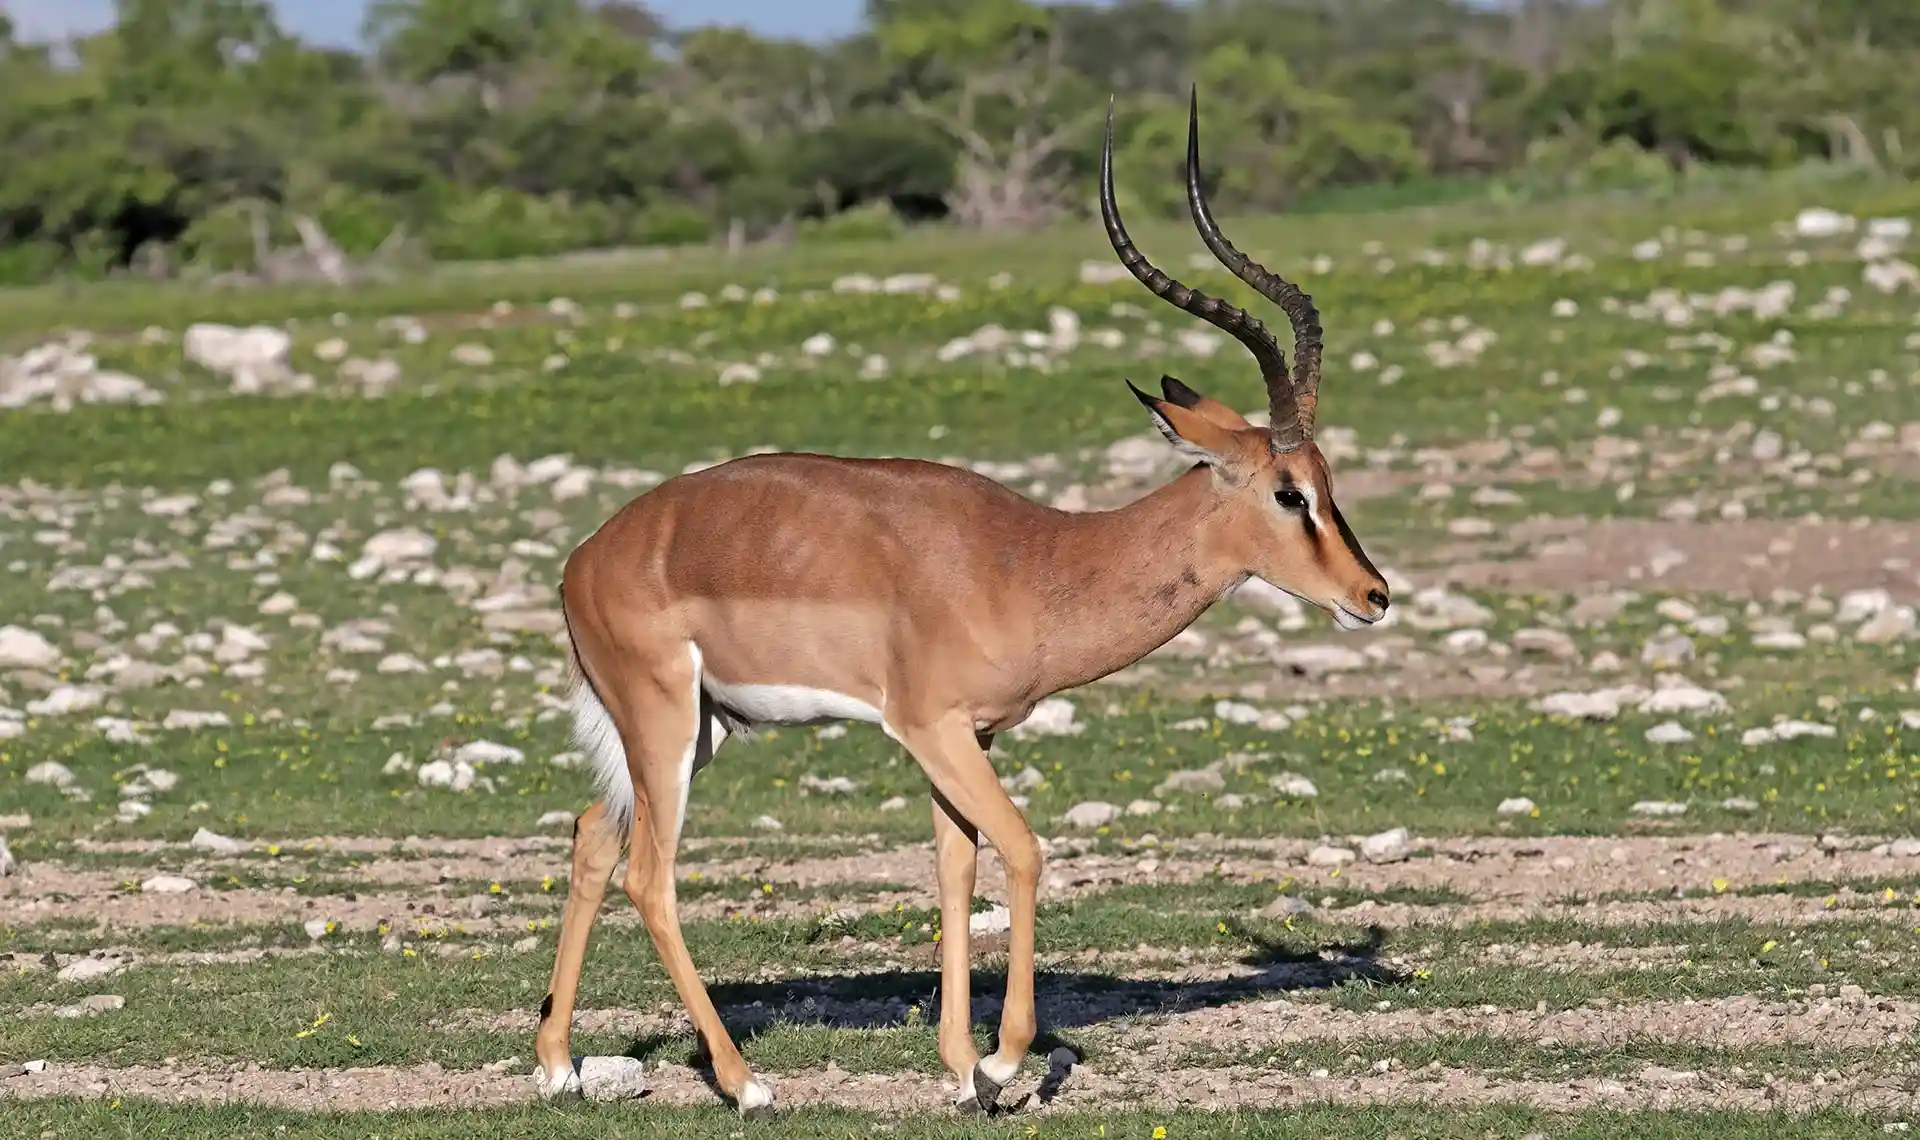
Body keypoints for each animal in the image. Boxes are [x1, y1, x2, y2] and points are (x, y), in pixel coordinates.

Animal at [533, 88, 1390, 1116]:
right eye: (1290, 493)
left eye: (1329, 480)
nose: (1374, 594)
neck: (1032, 561)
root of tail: (586, 558)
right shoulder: (930, 727)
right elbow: (1021, 849)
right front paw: (1005, 1061)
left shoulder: (964, 737)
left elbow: (955, 865)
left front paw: (958, 1067)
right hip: (663, 727)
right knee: (649, 878)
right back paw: (745, 1084)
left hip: (697, 727)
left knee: (591, 839)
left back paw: (557, 1066)